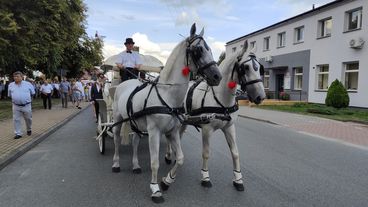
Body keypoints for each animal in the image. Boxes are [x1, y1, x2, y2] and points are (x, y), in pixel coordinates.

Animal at [111, 23, 221, 203]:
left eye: (210, 49)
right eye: (198, 50)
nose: (217, 76)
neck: (166, 94)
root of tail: (126, 82)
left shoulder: (172, 131)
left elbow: (181, 158)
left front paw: (166, 181)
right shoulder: (154, 132)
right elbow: (154, 162)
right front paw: (155, 189)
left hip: (136, 123)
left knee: (135, 141)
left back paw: (135, 165)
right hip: (117, 119)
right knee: (116, 140)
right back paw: (116, 163)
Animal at [165, 40, 266, 191]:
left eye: (259, 68)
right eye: (245, 67)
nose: (261, 96)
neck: (220, 99)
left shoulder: (229, 127)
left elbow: (235, 153)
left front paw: (238, 179)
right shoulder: (207, 130)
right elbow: (206, 153)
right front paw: (205, 177)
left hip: (184, 121)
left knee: (178, 135)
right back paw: (169, 155)